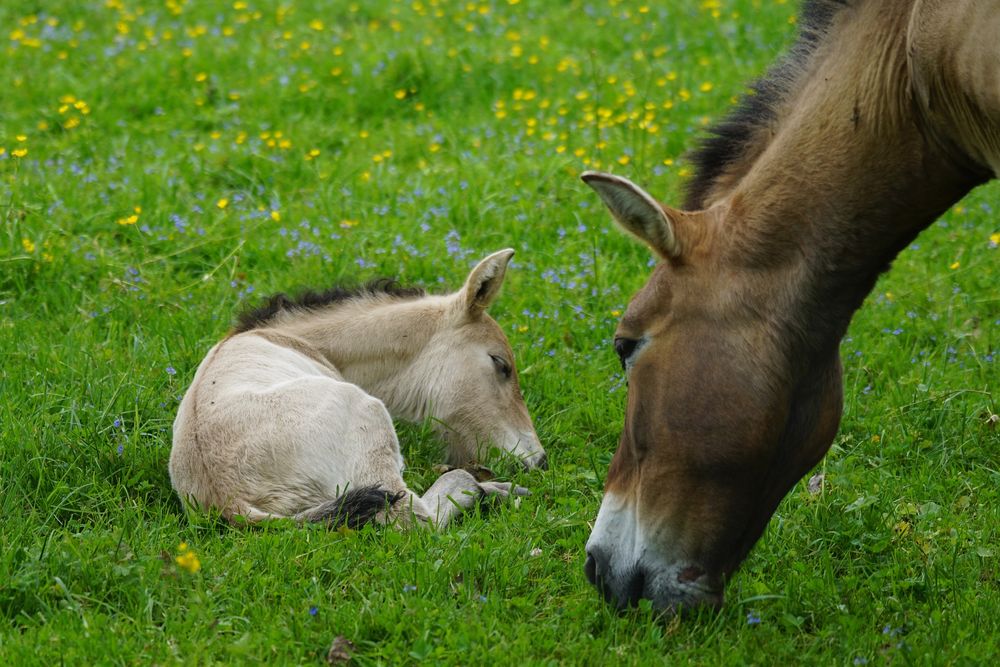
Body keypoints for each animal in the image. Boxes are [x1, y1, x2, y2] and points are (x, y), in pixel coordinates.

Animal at [169, 249, 545, 531]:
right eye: (501, 364)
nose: (539, 460)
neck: (289, 339)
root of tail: (228, 502)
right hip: (370, 420)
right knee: (417, 518)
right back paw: (494, 489)